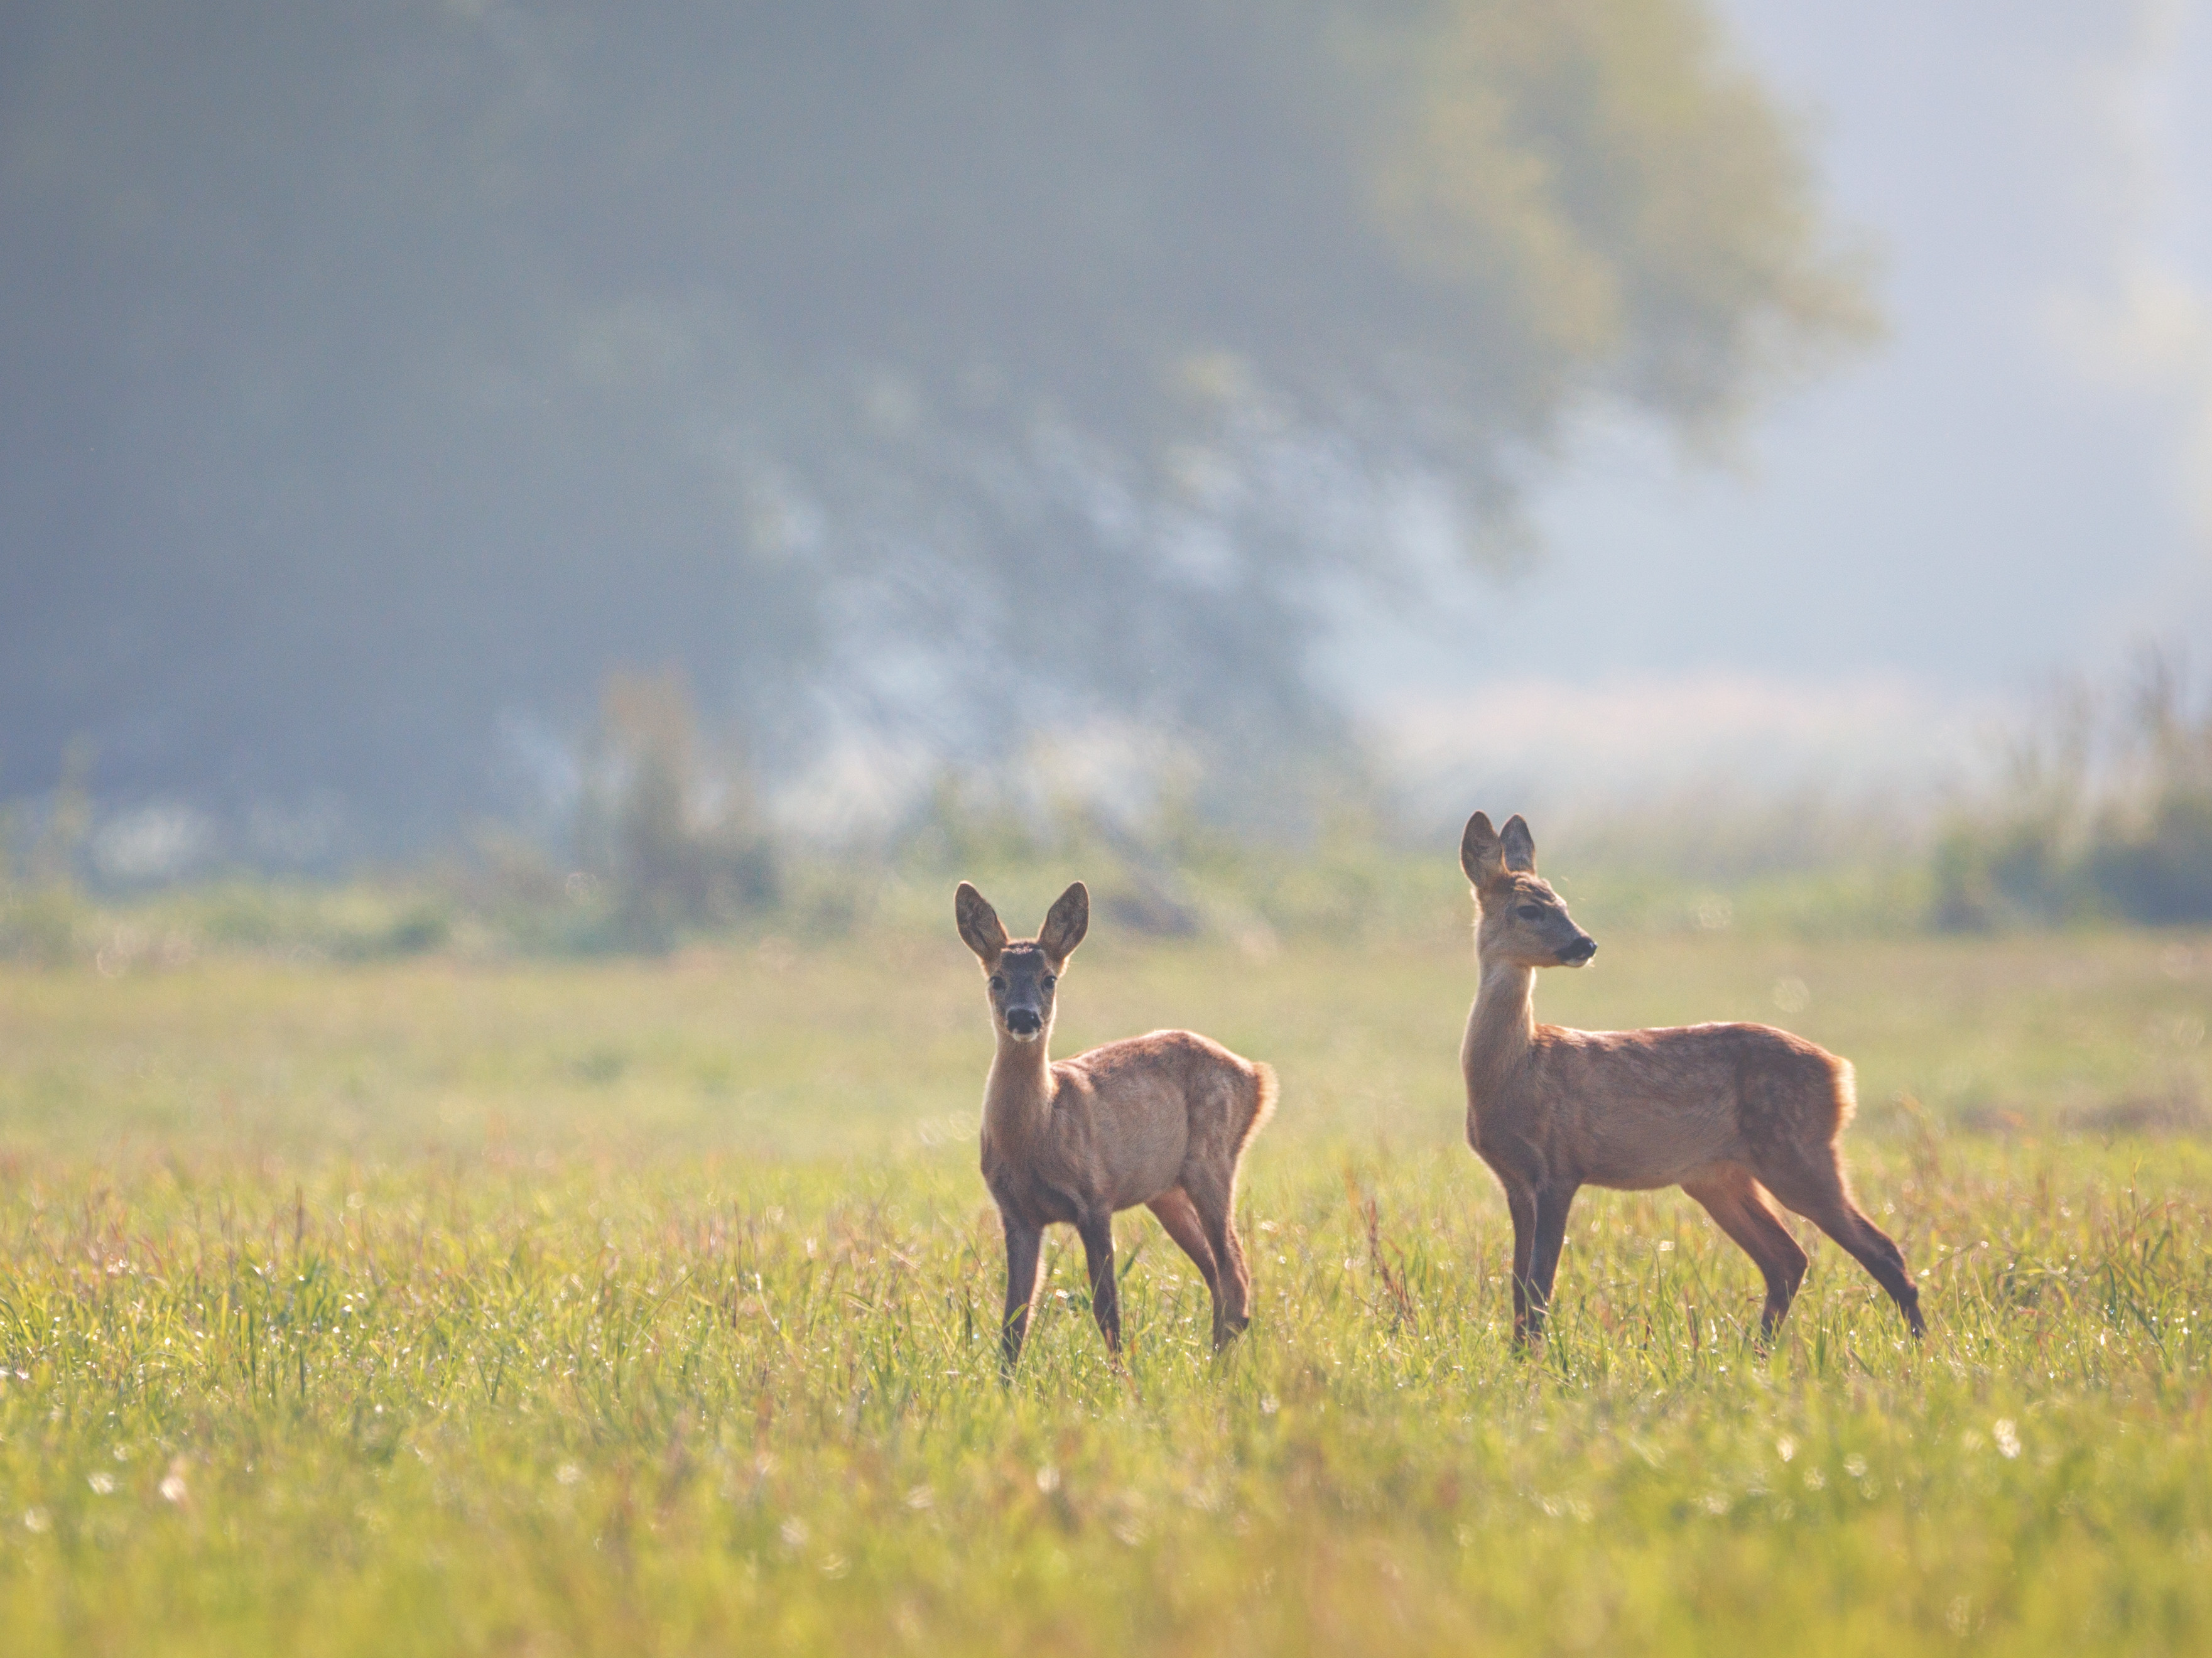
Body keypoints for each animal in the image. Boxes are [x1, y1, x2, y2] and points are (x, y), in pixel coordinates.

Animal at [955, 884, 1282, 1379]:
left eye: (1049, 979)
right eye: (997, 979)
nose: (1024, 1018)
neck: (1038, 1130)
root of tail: (1257, 1077)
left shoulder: (1095, 1198)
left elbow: (1106, 1308)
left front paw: (1121, 1380)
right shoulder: (1017, 1213)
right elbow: (1014, 1320)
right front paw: (1003, 1386)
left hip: (1213, 1160)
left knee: (1234, 1272)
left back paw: (1216, 1370)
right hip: (1165, 1191)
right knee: (1219, 1275)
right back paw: (1216, 1361)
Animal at [1451, 813, 1920, 1353]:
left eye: (1564, 905)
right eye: (1529, 909)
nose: (1585, 944)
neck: (1517, 1070)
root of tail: (1841, 1073)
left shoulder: (1560, 1166)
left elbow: (1540, 1283)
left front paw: (1534, 1359)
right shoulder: (1514, 1178)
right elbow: (1517, 1284)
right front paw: (1518, 1356)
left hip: (1797, 1152)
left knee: (1881, 1249)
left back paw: (1919, 1346)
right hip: (1717, 1176)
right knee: (1787, 1258)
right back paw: (1758, 1352)